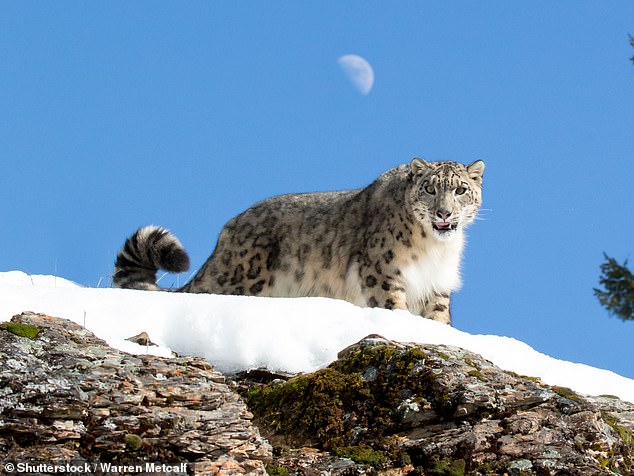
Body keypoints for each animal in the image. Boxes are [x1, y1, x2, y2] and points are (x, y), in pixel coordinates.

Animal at [115, 158, 484, 326]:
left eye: (460, 189)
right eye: (430, 188)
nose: (443, 212)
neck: (434, 249)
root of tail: (226, 232)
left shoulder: (437, 285)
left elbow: (438, 318)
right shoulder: (383, 273)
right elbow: (393, 306)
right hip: (240, 279)